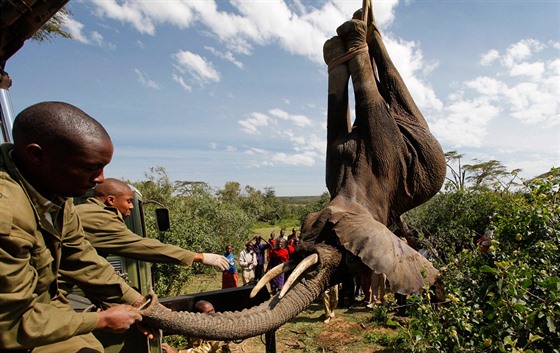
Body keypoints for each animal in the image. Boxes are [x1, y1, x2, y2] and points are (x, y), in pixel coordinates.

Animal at [141, 7, 446, 338]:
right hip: (377, 143)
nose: (147, 300)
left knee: (374, 102)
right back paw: (344, 40)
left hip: (389, 144)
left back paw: (355, 32)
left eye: (346, 257)